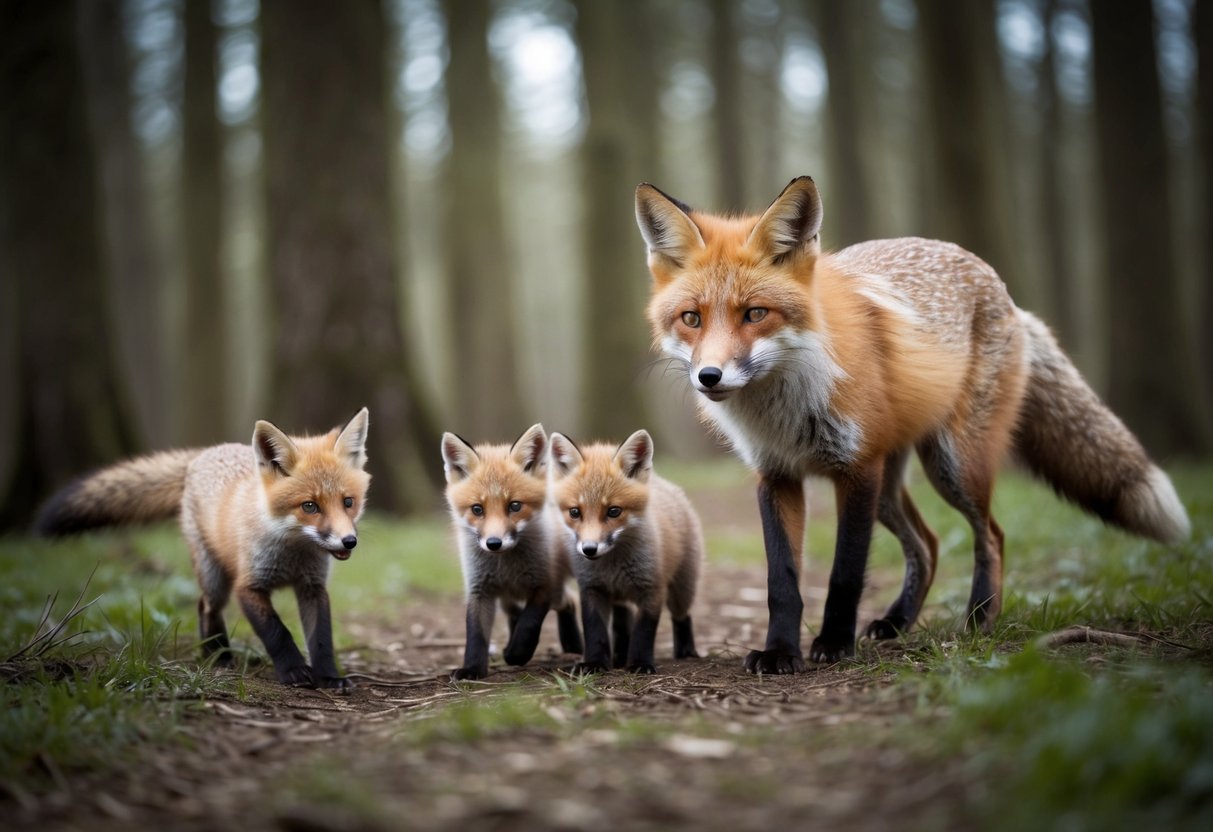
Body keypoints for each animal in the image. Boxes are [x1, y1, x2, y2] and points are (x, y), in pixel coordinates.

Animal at [36, 409, 372, 690]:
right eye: (310, 506)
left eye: (348, 502)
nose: (348, 541)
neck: (293, 553)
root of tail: (204, 453)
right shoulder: (248, 586)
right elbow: (278, 632)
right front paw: (293, 671)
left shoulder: (312, 587)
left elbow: (321, 639)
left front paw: (328, 677)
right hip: (214, 577)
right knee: (206, 606)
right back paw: (218, 656)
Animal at [442, 423, 583, 680]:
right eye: (477, 509)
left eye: (515, 506)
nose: (494, 543)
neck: (505, 565)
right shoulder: (479, 589)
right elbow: (476, 634)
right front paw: (472, 669)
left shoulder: (545, 584)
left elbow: (529, 623)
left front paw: (516, 654)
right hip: (507, 597)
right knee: (517, 612)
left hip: (555, 590)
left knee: (569, 601)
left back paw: (573, 645)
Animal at [548, 429, 703, 674]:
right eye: (574, 512)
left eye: (614, 511)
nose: (589, 549)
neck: (613, 566)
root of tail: (664, 484)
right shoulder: (591, 588)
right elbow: (596, 631)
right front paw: (595, 663)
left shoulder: (652, 589)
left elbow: (643, 632)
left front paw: (640, 664)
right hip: (620, 597)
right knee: (623, 621)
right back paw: (619, 656)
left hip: (682, 589)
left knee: (682, 616)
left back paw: (686, 652)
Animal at [635, 176, 1191, 673]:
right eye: (691, 319)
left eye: (755, 314)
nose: (709, 376)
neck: (783, 410)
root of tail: (1006, 293)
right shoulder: (776, 475)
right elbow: (782, 581)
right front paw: (780, 653)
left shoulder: (856, 468)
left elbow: (845, 573)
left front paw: (833, 646)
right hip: (892, 484)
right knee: (929, 543)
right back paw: (898, 622)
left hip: (952, 465)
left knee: (991, 534)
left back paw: (979, 621)